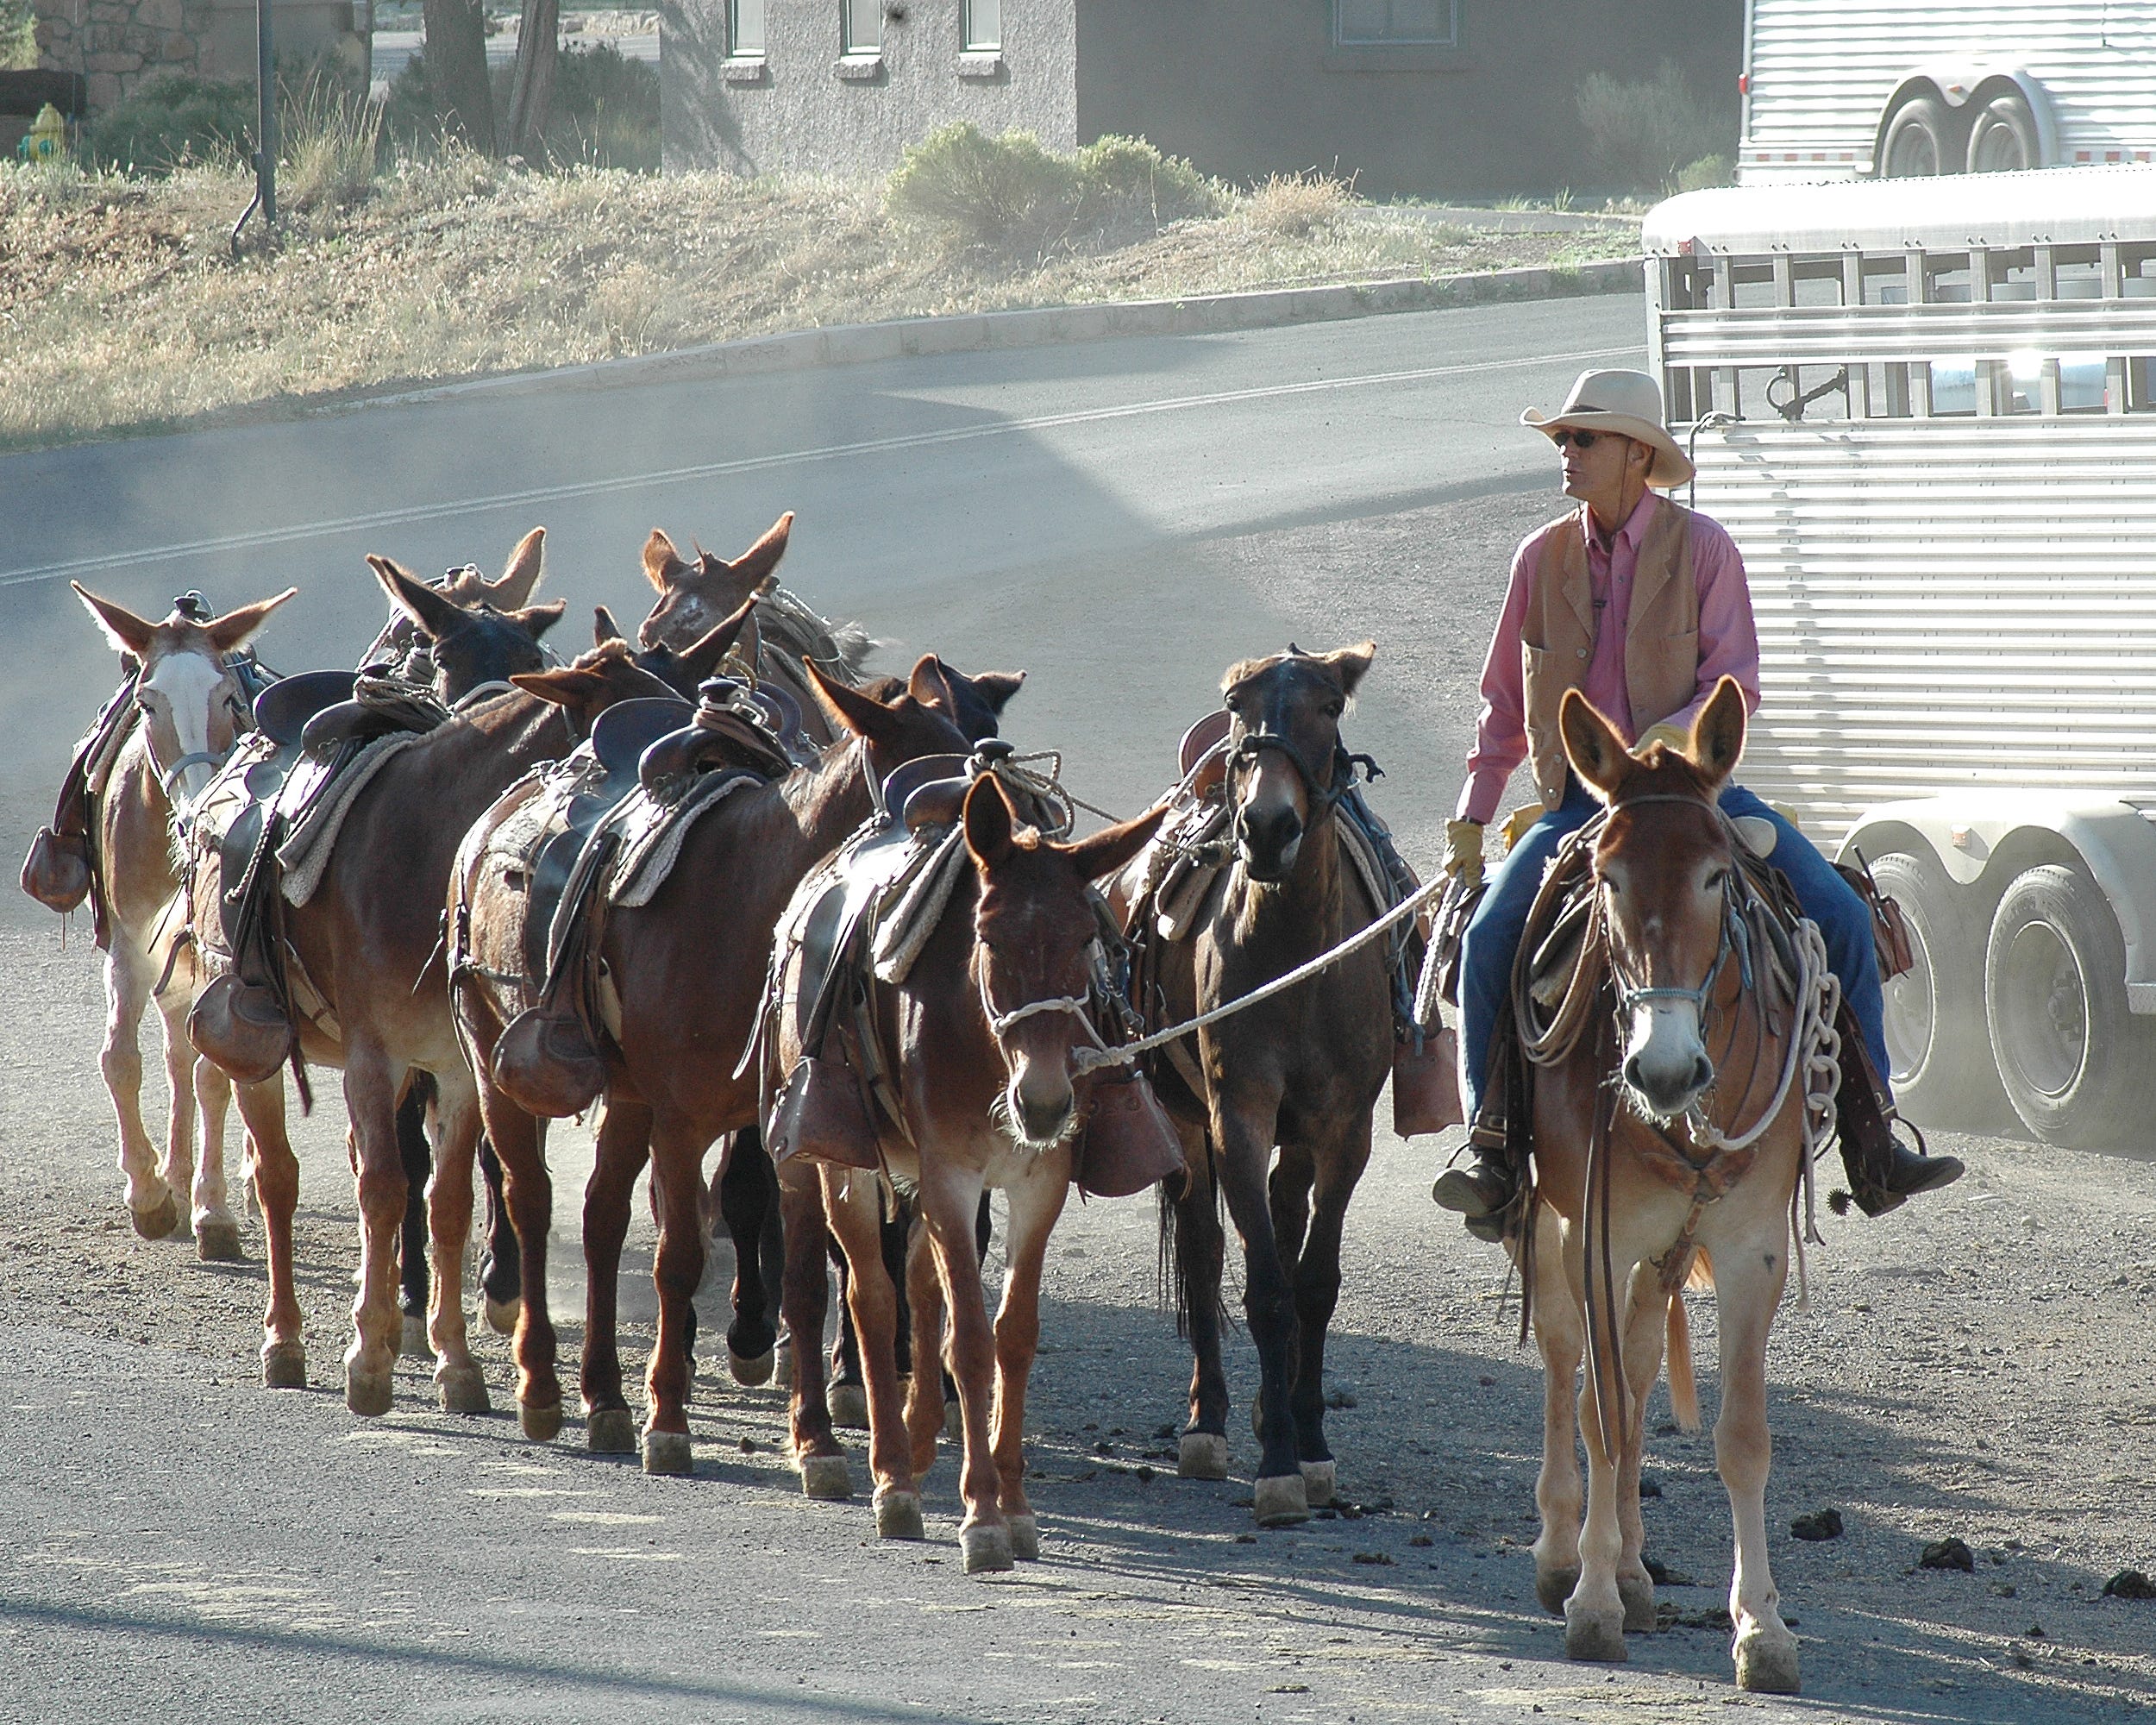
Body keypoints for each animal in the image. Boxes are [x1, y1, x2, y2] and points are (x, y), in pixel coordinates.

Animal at [61, 583, 295, 1252]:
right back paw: (174, 1170)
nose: (198, 807)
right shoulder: (132, 945)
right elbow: (121, 1060)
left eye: (227, 699)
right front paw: (149, 1193)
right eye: (148, 702)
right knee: (174, 1056)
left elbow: (215, 1073)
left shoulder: (215, 958)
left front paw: (210, 1209)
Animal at [790, 774, 1163, 1572]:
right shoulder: (951, 1177)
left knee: (919, 1285)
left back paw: (920, 1439)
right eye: (988, 937)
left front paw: (1016, 1507)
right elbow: (968, 1341)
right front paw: (983, 1515)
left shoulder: (1036, 1184)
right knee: (872, 1298)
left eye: (1087, 940)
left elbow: (1012, 1334)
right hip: (845, 1167)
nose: (1044, 1101)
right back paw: (892, 1478)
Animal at [1123, 644, 1396, 1529]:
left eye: (1329, 706)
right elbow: (1266, 1287)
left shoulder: (1344, 1131)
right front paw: (1277, 1462)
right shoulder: (1235, 1117)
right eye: (1240, 707)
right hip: (1188, 1121)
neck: (1296, 958)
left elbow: (1314, 1284)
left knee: (1282, 1209)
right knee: (1207, 1251)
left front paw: (1309, 1443)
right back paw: (1209, 1421)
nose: (1268, 826)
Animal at [1517, 680, 1816, 1695]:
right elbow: (1598, 1413)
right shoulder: (1597, 1239)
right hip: (1558, 1225)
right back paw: (1568, 1553)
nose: (1664, 1069)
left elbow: (1741, 1437)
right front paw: (1591, 1604)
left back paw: (1637, 1569)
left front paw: (1761, 1627)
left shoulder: (1750, 1247)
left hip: (1664, 1250)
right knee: (1567, 1364)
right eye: (1606, 877)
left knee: (1642, 1366)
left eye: (1716, 875)